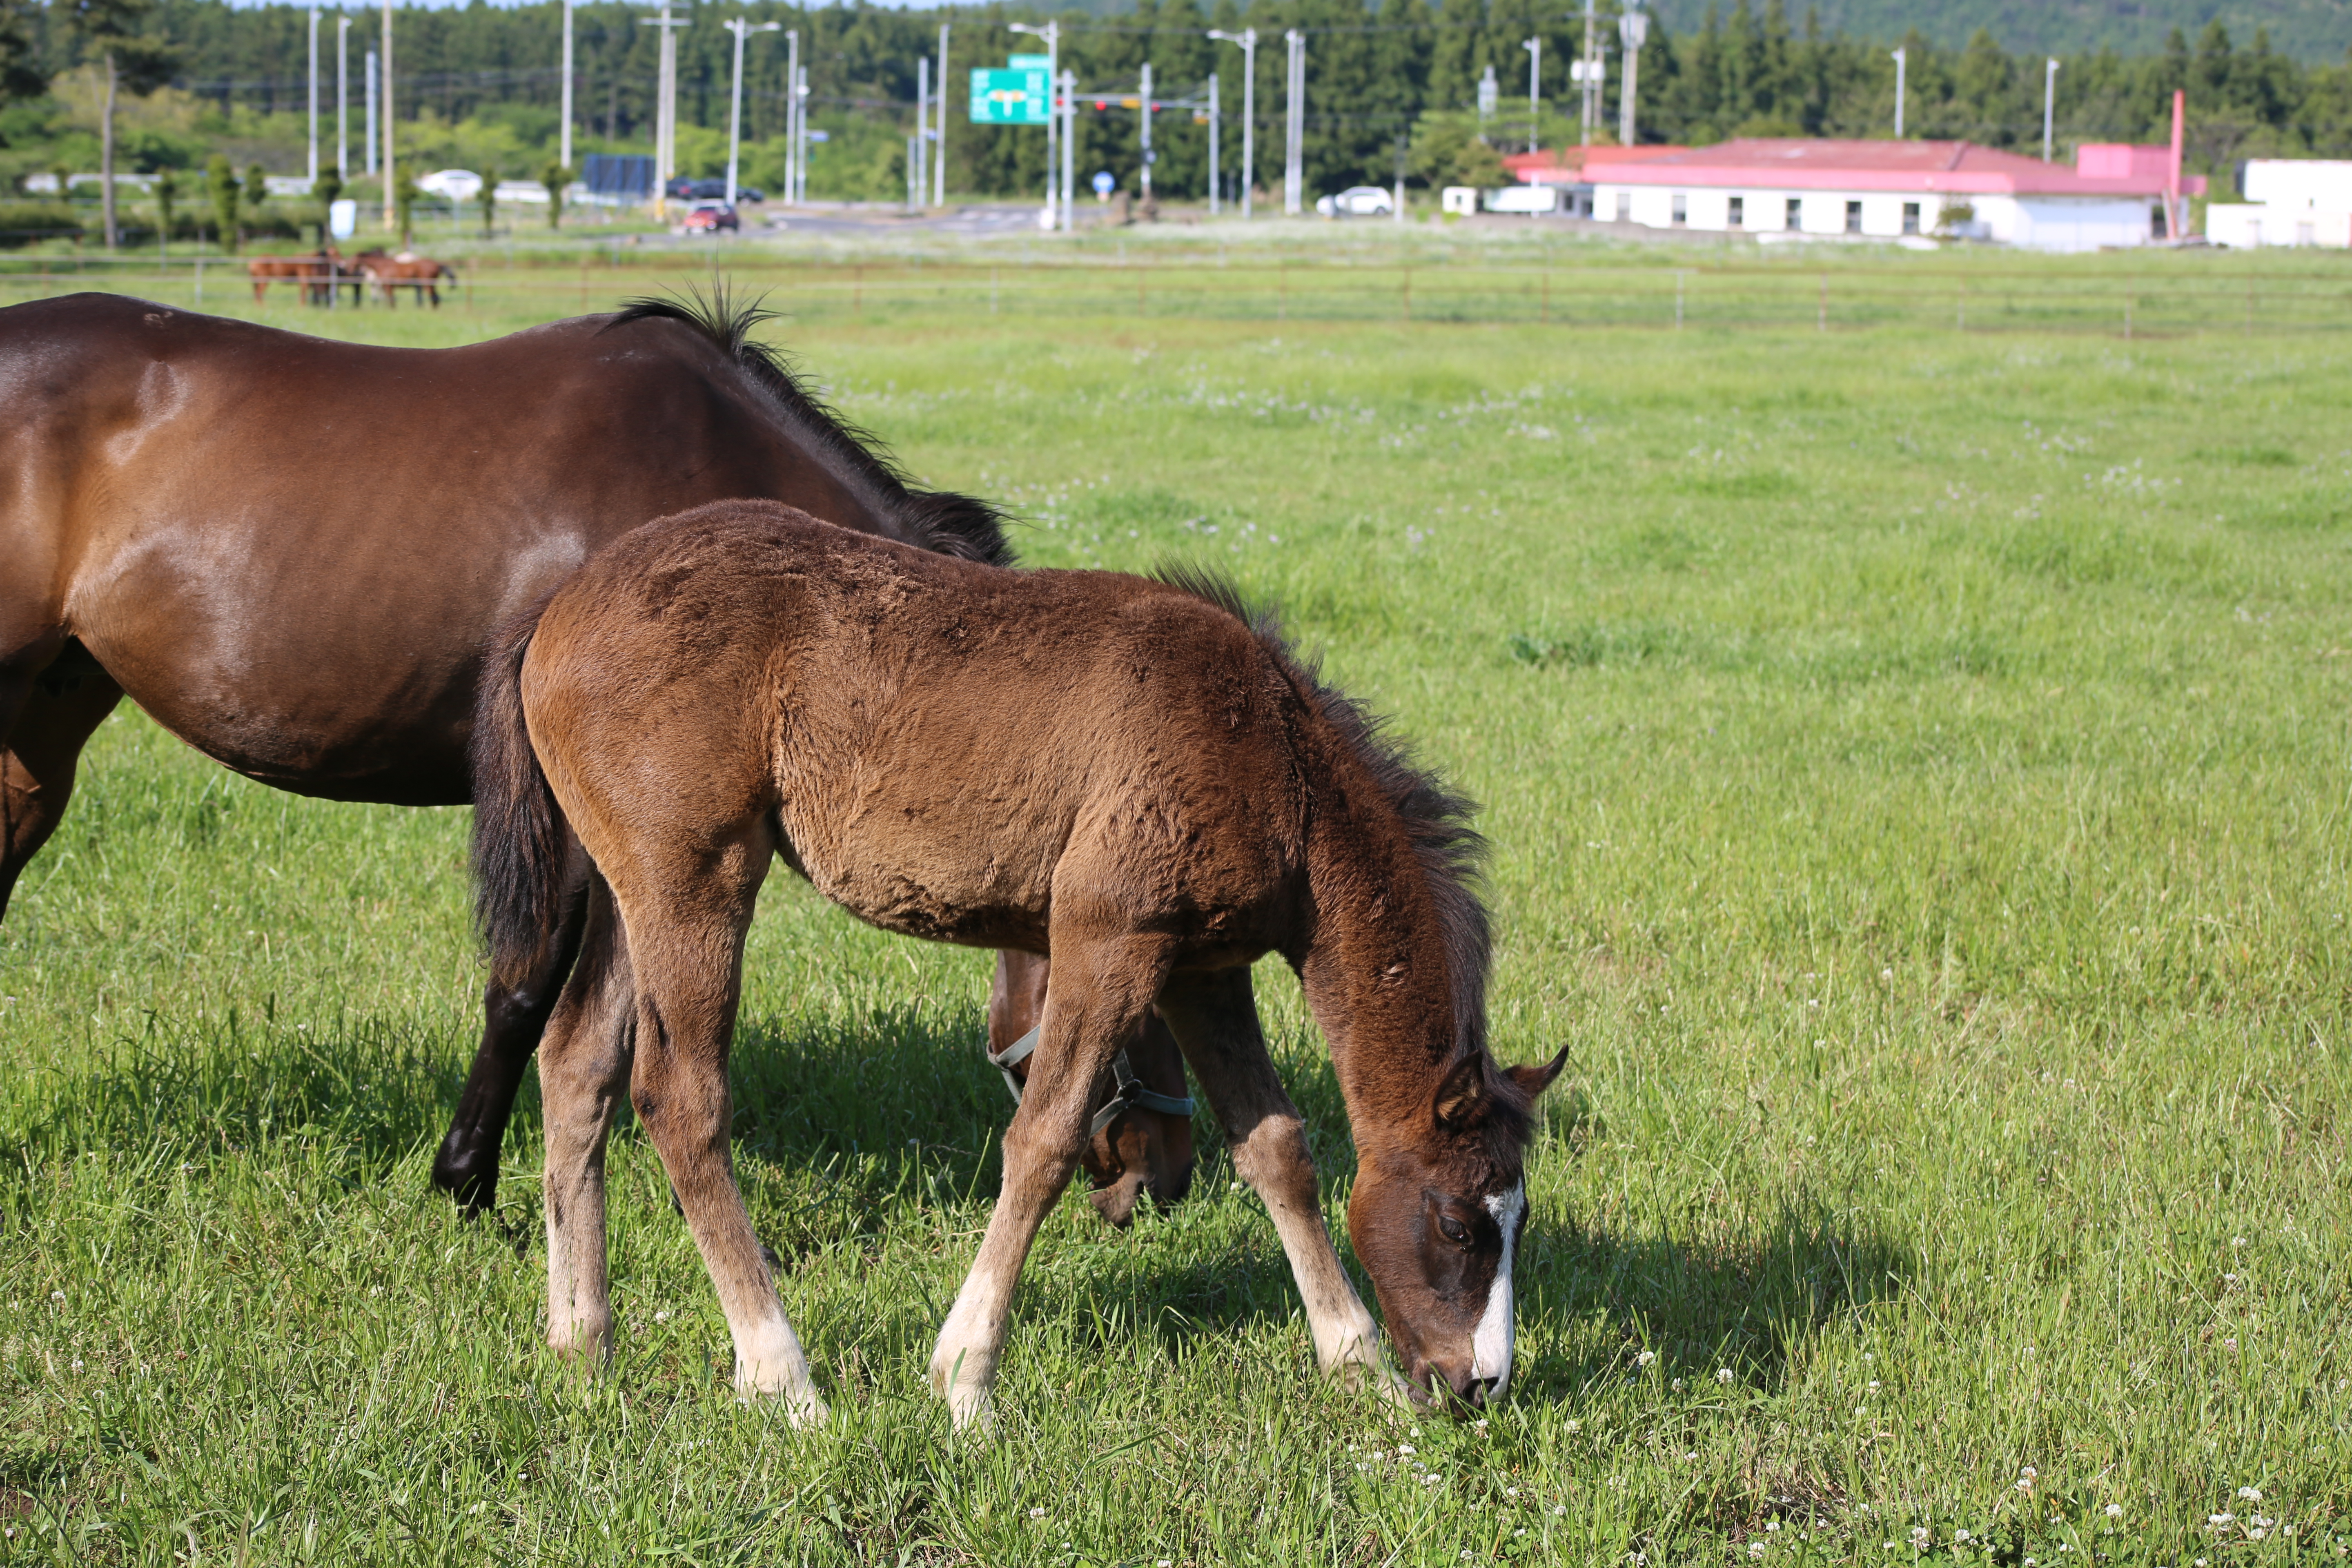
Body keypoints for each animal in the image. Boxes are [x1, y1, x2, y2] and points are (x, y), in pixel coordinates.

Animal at [470, 501, 1571, 1420]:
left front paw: (1357, 1365)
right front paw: (964, 1379)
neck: (1272, 757)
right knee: (680, 1096)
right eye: (1462, 1222)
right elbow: (1042, 1143)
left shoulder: (1201, 969)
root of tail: (559, 604)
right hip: (697, 878)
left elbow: (1277, 1147)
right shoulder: (1110, 936)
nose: (1478, 1383)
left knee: (576, 1064)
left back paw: (582, 1344)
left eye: (1516, 1221)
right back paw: (783, 1378)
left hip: (627, 892)